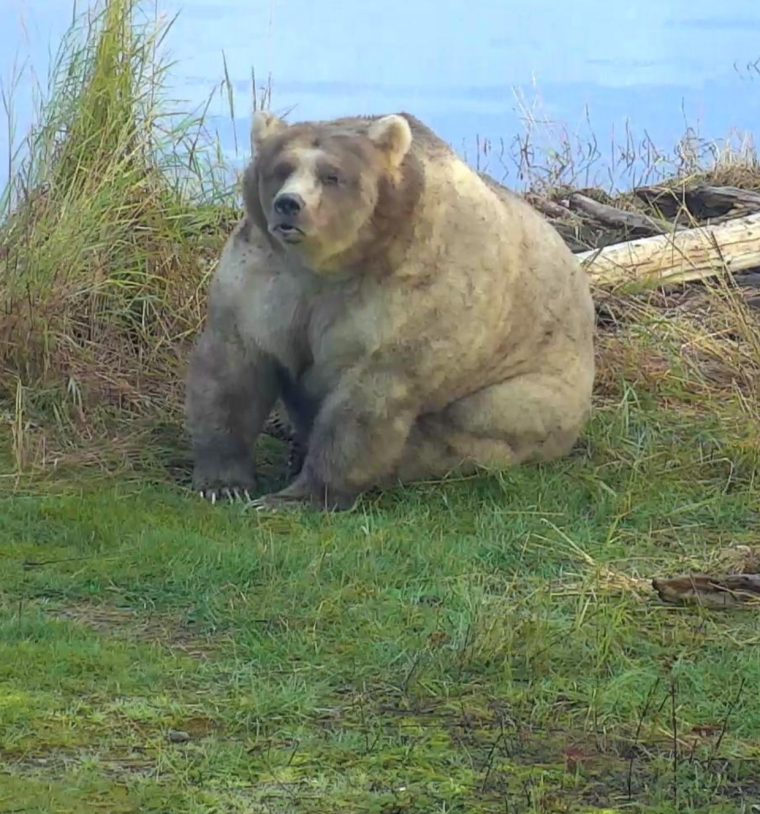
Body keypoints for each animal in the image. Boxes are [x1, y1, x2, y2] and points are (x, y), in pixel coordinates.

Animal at [184, 110, 595, 511]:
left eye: (332, 175)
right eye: (281, 168)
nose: (289, 204)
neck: (333, 265)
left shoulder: (409, 298)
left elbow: (367, 402)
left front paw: (296, 496)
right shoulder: (265, 280)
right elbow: (233, 369)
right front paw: (223, 483)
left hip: (527, 394)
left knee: (464, 429)